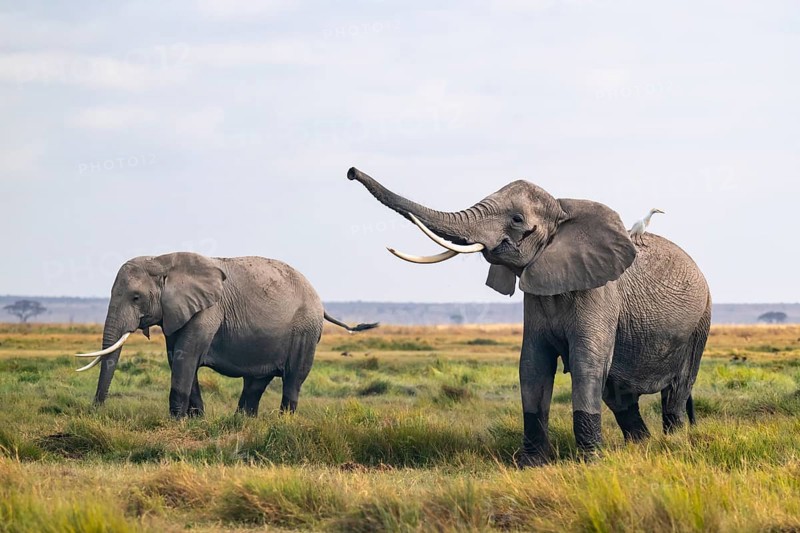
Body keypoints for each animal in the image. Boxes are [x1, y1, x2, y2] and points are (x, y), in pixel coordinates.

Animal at [75, 253, 378, 418]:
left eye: (136, 298)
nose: (96, 410)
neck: (163, 260)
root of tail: (320, 301)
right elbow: (178, 358)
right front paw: (196, 421)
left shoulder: (209, 310)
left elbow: (186, 358)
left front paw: (177, 421)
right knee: (255, 383)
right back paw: (242, 421)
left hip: (305, 330)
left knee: (293, 379)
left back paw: (283, 422)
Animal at [347, 167, 711, 465]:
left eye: (517, 220)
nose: (351, 172)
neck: (563, 212)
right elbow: (533, 363)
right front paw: (531, 463)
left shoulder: (600, 293)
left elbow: (587, 362)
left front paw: (590, 462)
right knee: (619, 397)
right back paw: (641, 447)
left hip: (699, 326)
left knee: (675, 394)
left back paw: (674, 444)